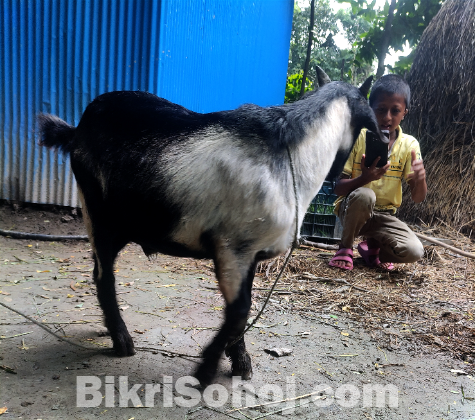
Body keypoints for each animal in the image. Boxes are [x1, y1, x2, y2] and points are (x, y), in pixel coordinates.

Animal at [37, 71, 386, 384]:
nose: (342, 175)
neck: (290, 158)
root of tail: (76, 130)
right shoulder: (232, 248)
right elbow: (238, 310)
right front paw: (205, 371)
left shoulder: (251, 254)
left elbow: (244, 309)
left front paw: (239, 361)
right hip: (97, 212)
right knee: (103, 275)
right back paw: (122, 341)